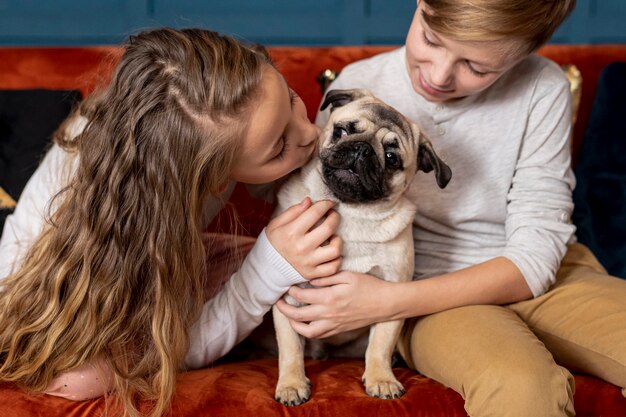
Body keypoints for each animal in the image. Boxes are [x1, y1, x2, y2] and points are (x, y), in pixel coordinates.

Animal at [270, 89, 450, 404]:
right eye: (342, 131)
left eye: (391, 158)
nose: (362, 150)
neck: (349, 212)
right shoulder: (287, 299)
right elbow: (290, 348)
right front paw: (291, 384)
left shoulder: (392, 294)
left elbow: (379, 345)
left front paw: (381, 379)